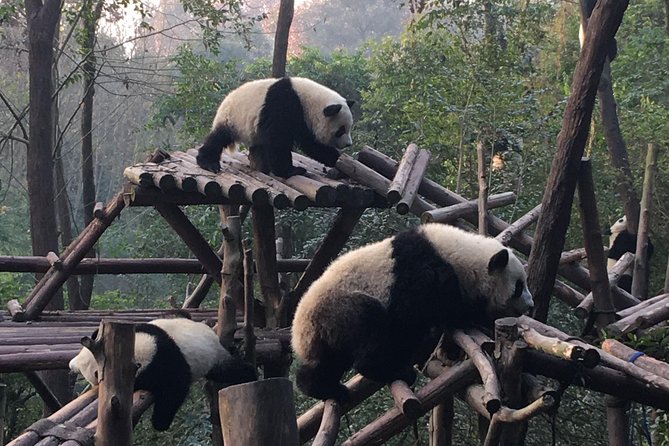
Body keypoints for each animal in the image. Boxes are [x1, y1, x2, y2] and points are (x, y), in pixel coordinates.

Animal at [69, 315, 257, 431]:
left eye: (91, 374)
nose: (72, 364)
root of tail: (213, 336)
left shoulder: (163, 363)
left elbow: (175, 386)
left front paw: (160, 423)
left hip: (213, 359)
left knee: (232, 371)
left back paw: (250, 376)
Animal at [196, 77, 355, 178]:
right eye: (341, 130)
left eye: (349, 128)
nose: (348, 144)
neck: (308, 100)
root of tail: (225, 100)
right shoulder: (283, 104)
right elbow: (278, 140)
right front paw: (292, 171)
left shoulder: (303, 120)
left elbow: (313, 145)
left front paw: (341, 163)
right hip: (232, 118)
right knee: (218, 138)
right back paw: (208, 163)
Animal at [291, 223, 534, 402]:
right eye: (518, 286)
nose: (530, 305)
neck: (461, 257)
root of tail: (300, 332)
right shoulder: (423, 275)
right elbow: (413, 317)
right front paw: (471, 317)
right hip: (342, 308)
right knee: (369, 327)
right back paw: (391, 371)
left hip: (328, 331)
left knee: (328, 361)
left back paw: (319, 386)